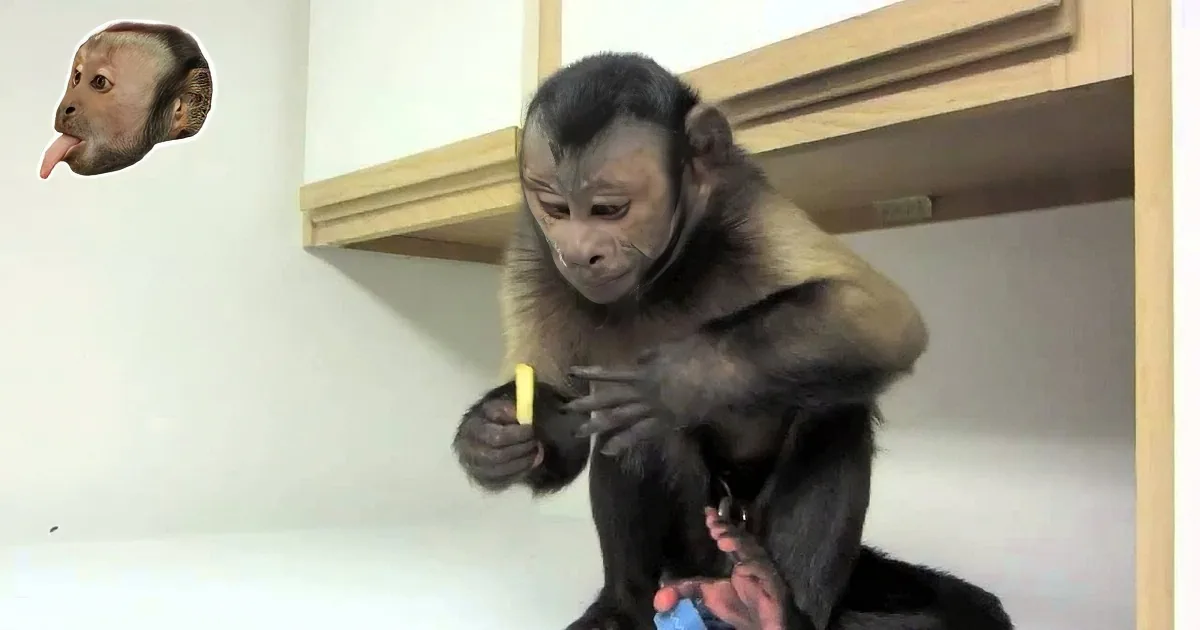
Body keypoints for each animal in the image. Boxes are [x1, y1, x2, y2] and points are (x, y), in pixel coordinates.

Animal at [451, 52, 1012, 630]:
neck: (662, 275)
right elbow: (560, 412)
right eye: (557, 210)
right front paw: (490, 437)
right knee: (632, 436)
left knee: (833, 407)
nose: (579, 253)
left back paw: (772, 609)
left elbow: (880, 318)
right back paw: (626, 605)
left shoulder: (744, 208)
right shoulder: (532, 249)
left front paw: (668, 383)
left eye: (609, 210)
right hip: (694, 555)